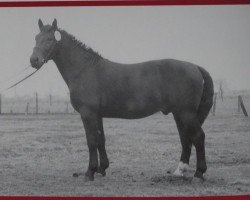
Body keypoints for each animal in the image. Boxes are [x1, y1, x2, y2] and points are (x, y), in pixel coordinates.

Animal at [29, 18, 213, 181]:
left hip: (186, 113)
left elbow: (91, 141)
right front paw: (102, 169)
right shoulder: (97, 115)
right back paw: (179, 171)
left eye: (49, 39)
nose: (33, 60)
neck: (84, 69)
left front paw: (90, 172)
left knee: (198, 137)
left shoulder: (88, 113)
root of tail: (194, 67)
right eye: (36, 38)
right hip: (179, 114)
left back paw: (199, 173)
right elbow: (100, 140)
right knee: (185, 138)